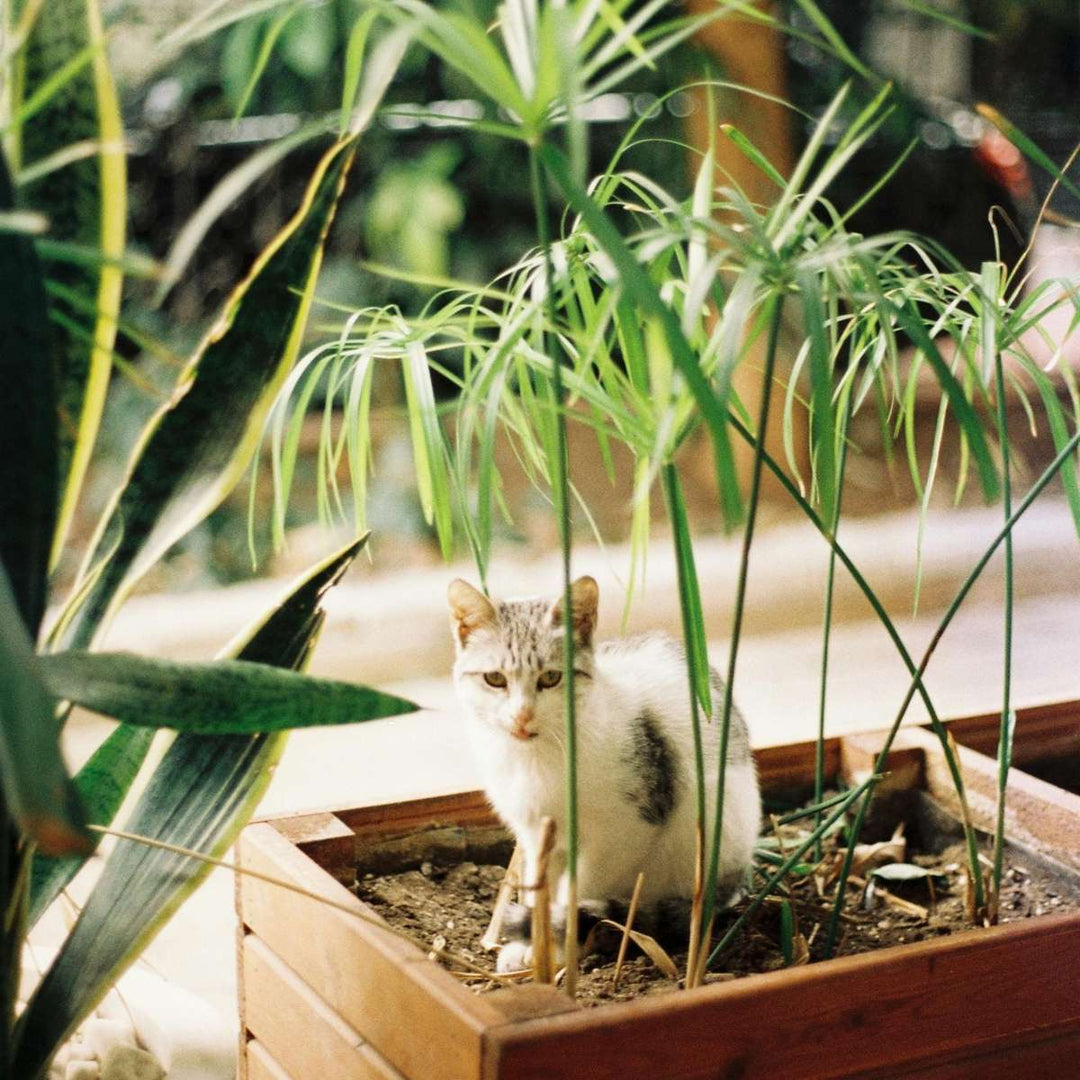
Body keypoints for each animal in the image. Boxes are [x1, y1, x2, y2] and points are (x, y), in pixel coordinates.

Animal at [447, 574, 760, 972]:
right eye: (494, 679)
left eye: (551, 677)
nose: (521, 716)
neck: (536, 759)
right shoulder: (534, 834)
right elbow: (538, 889)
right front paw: (532, 946)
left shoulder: (625, 831)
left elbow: (579, 888)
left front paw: (561, 948)